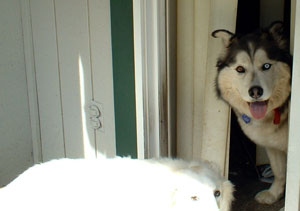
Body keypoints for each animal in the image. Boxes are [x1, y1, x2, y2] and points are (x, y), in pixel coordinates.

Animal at [212, 22, 292, 205]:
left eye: (267, 66)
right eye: (240, 69)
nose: (255, 91)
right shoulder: (272, 144)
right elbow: (279, 171)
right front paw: (274, 194)